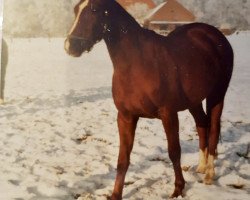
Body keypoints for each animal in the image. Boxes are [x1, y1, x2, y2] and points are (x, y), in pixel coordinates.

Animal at [63, 0, 233, 198]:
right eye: (76, 9)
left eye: (94, 9)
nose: (70, 46)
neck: (137, 63)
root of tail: (214, 35)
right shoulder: (125, 116)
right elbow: (123, 158)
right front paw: (115, 194)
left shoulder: (168, 114)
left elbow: (174, 151)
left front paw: (178, 188)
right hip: (194, 101)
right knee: (202, 124)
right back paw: (201, 166)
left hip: (217, 95)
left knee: (213, 128)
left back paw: (209, 174)